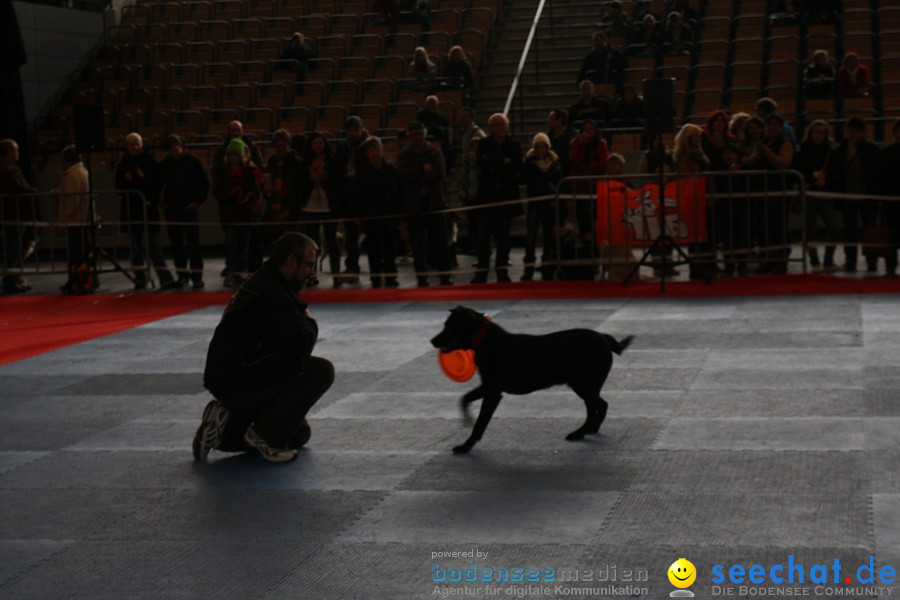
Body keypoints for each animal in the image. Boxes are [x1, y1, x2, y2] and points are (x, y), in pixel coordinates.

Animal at [430, 308, 632, 452]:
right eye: (445, 324)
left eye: (451, 326)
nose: (432, 340)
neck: (486, 340)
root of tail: (604, 337)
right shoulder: (489, 386)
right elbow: (464, 398)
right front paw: (467, 420)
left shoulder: (493, 392)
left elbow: (480, 423)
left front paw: (466, 446)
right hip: (585, 385)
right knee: (598, 406)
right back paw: (589, 430)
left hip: (583, 384)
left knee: (598, 406)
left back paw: (581, 432)